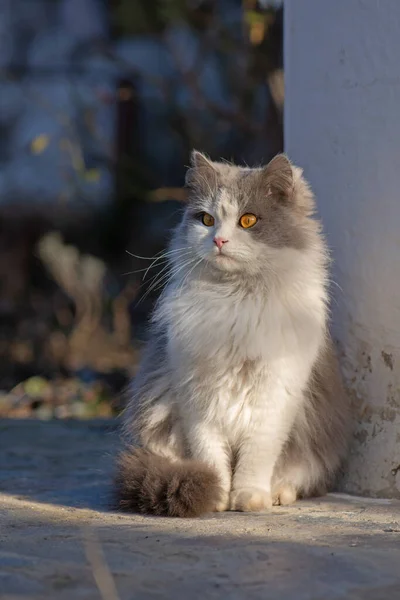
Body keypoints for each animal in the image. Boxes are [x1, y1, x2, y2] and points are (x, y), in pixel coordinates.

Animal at [114, 150, 352, 516]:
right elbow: (211, 458)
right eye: (206, 220)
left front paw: (249, 498)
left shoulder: (272, 400)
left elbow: (256, 459)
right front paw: (217, 496)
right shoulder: (198, 403)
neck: (235, 301)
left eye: (248, 221)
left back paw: (278, 493)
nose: (219, 240)